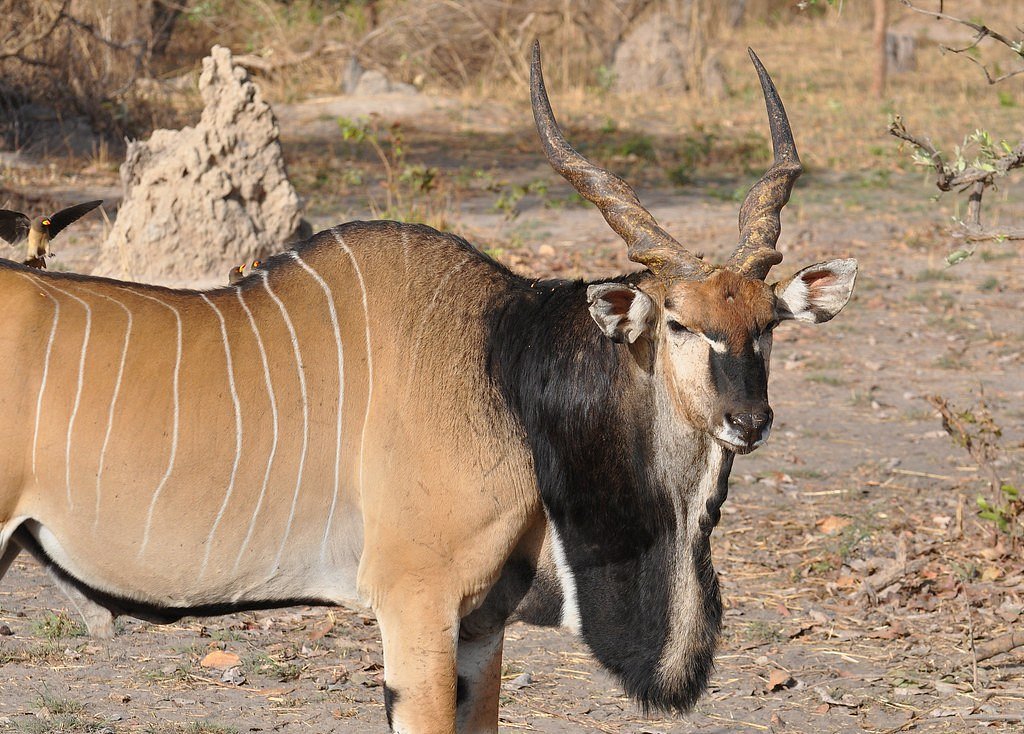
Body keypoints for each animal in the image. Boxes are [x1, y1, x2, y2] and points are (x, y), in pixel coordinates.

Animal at [0, 47, 856, 732]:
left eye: (768, 323)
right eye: (679, 323)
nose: (749, 419)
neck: (504, 366)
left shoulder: (480, 626)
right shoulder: (416, 606)